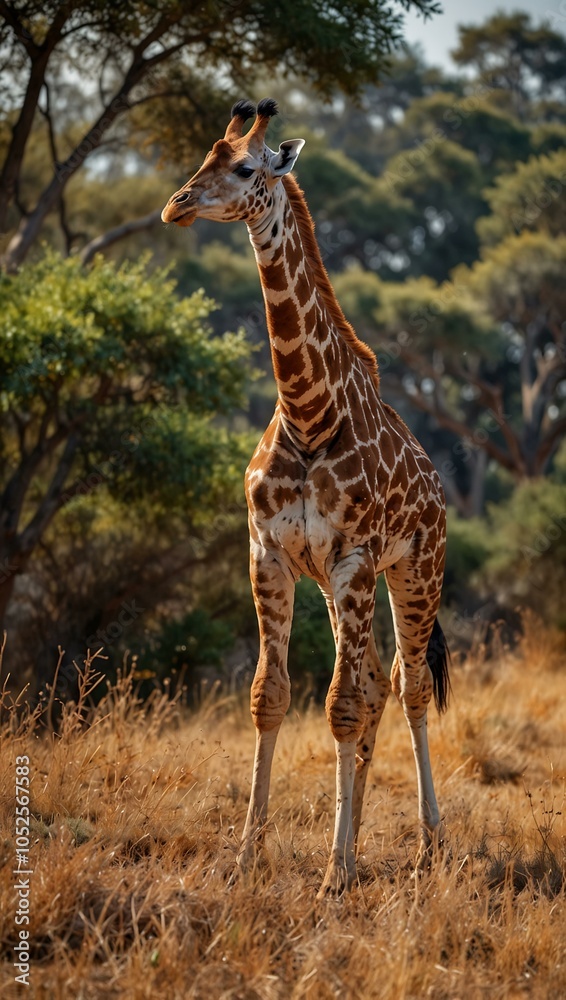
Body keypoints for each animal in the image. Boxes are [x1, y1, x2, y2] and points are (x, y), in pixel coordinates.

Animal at [161, 98, 450, 897]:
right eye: (205, 155)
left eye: (244, 169)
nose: (176, 204)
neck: (309, 412)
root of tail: (440, 488)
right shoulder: (270, 555)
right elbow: (272, 696)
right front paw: (246, 858)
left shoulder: (353, 559)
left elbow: (340, 706)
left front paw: (332, 873)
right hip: (338, 585)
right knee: (378, 686)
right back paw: (367, 841)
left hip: (414, 573)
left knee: (408, 687)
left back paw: (428, 846)